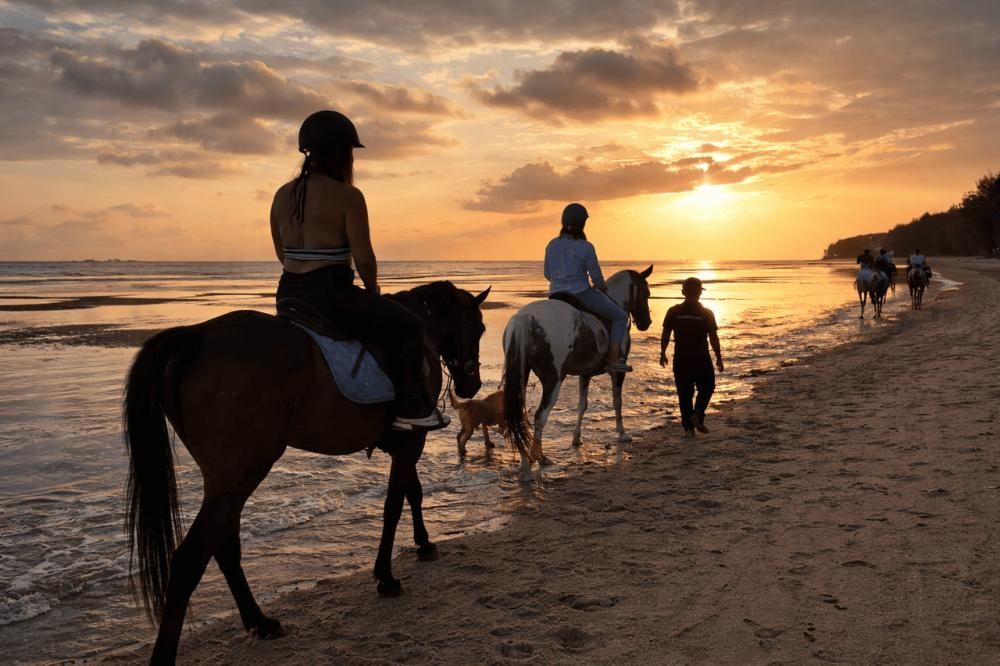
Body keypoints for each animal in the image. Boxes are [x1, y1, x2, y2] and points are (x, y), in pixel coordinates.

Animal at [122, 281, 490, 664]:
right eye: (479, 328)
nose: (472, 385)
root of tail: (195, 336)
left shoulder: (406, 441)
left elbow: (412, 493)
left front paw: (424, 544)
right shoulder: (412, 441)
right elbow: (393, 506)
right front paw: (386, 576)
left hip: (228, 482)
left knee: (223, 547)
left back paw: (260, 622)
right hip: (240, 475)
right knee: (189, 559)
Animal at [502, 267, 654, 480]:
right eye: (646, 293)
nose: (646, 322)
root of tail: (525, 319)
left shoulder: (585, 373)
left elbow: (583, 404)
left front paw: (576, 438)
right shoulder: (618, 371)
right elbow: (617, 401)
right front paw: (622, 433)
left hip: (521, 377)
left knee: (520, 417)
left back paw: (526, 464)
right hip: (553, 380)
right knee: (540, 416)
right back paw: (538, 459)